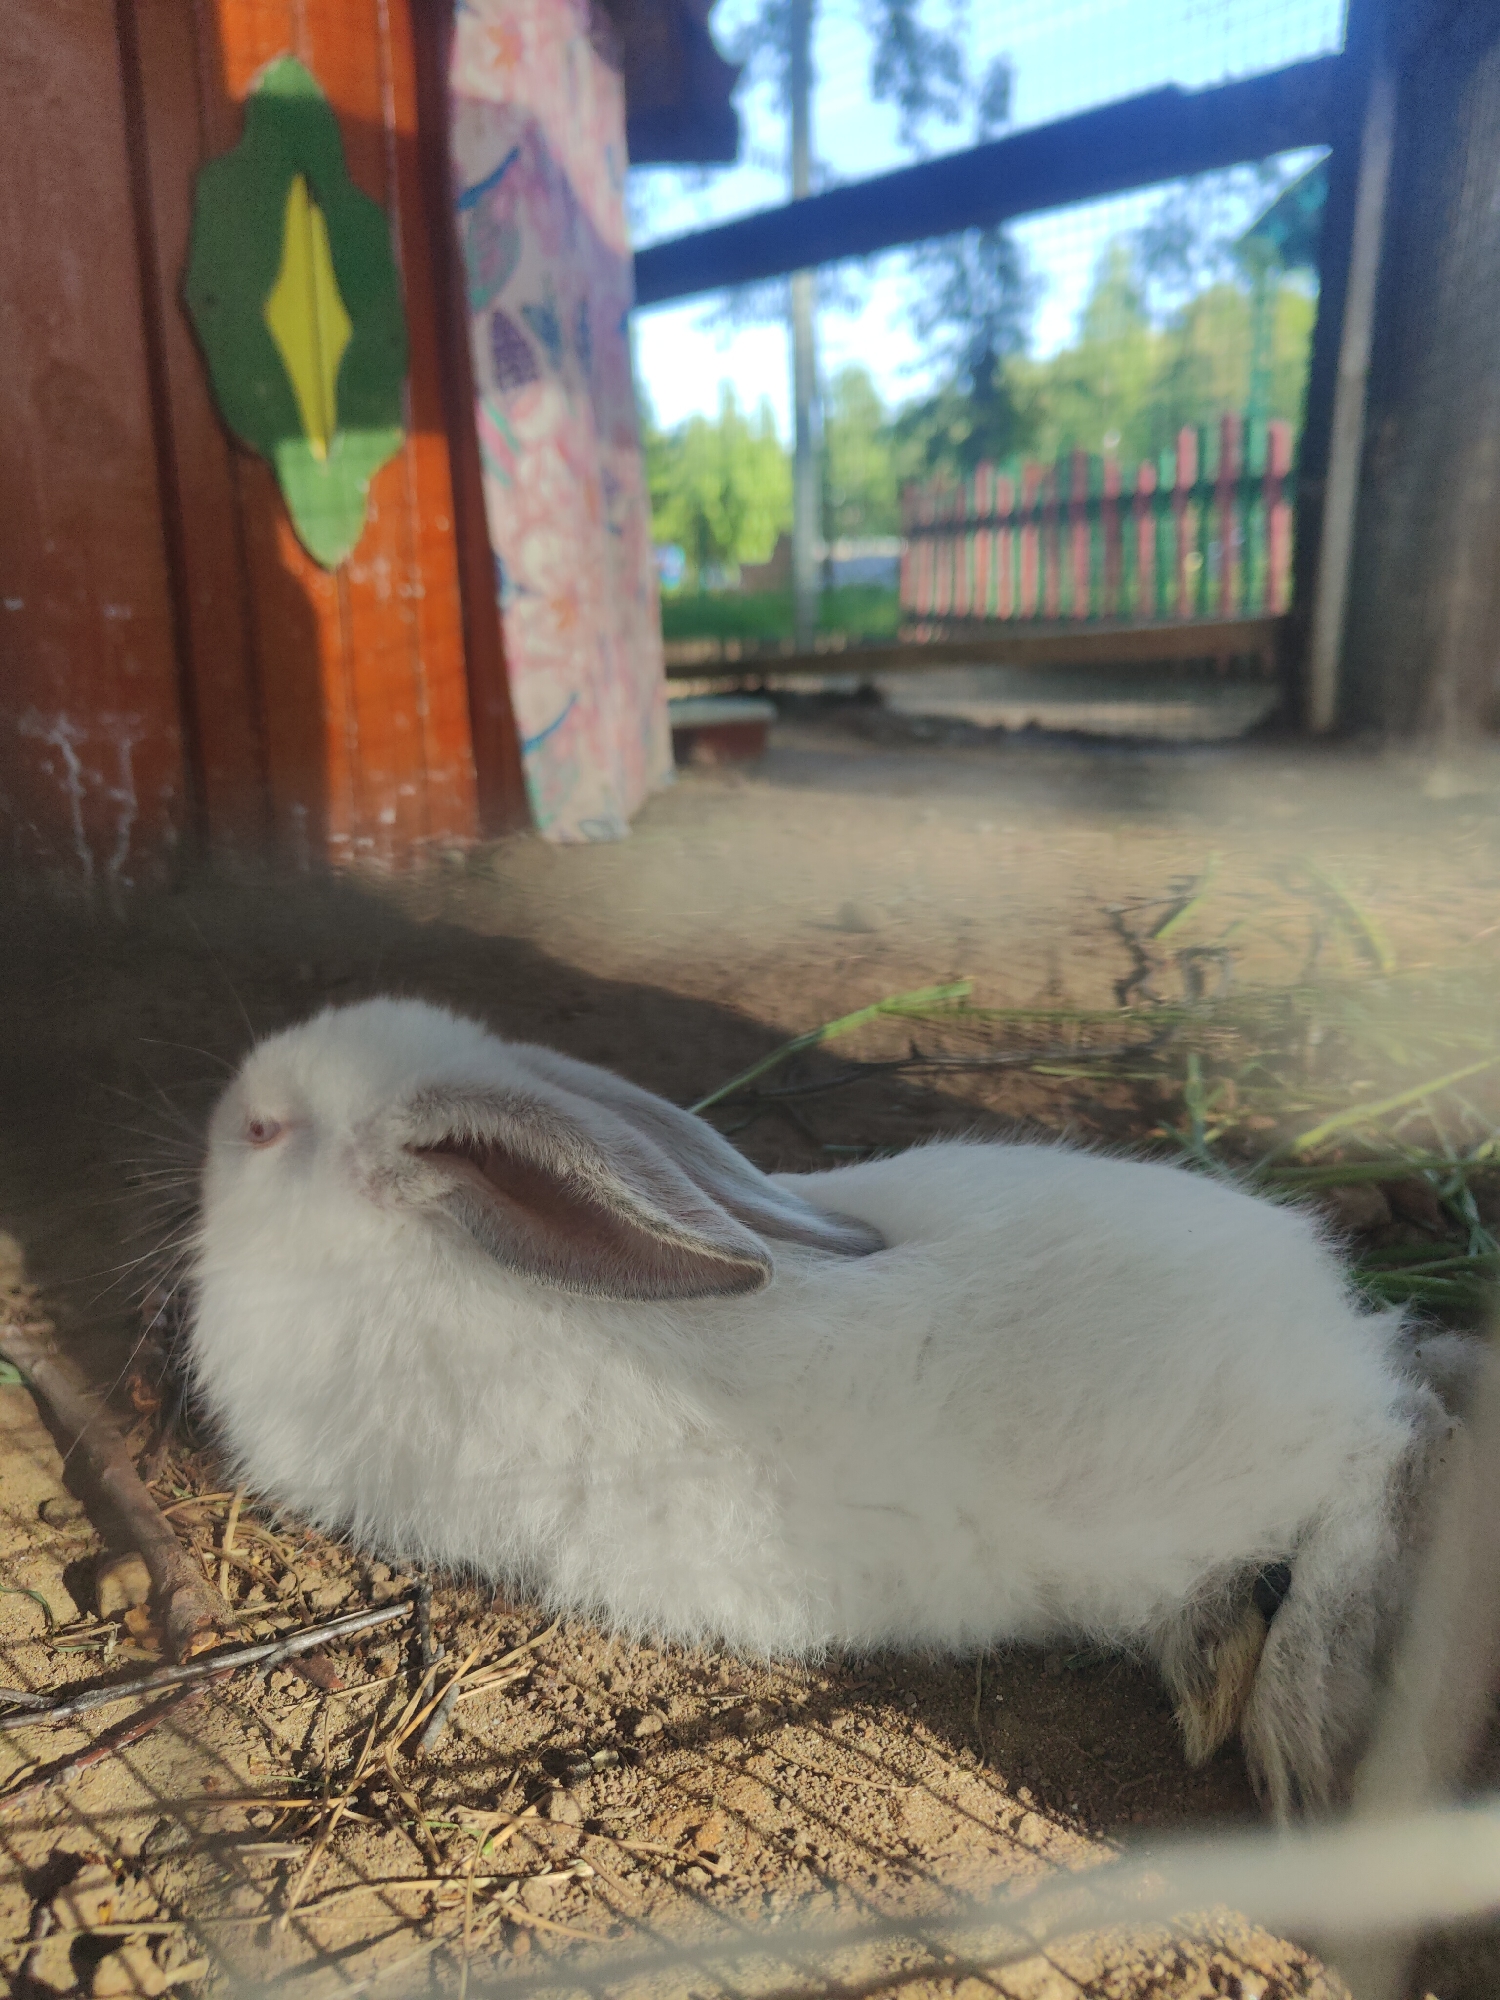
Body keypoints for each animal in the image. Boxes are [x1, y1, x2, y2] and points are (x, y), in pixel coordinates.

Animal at [189, 996, 1458, 1818]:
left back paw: (1292, 1734)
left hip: (1272, 1468)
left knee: (1395, 1454)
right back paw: (1217, 1674)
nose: (227, 1104)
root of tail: (1331, 1331)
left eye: (264, 1130)